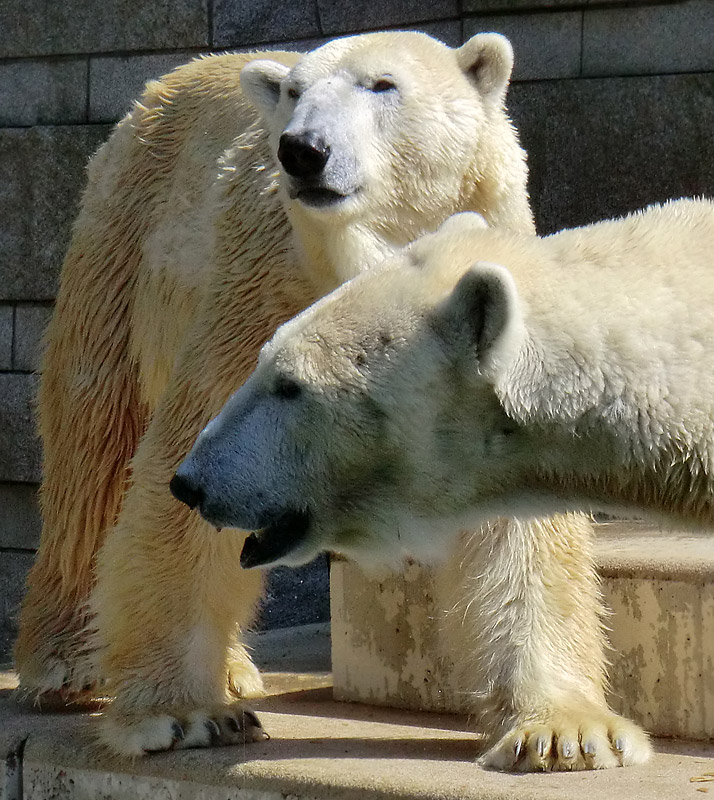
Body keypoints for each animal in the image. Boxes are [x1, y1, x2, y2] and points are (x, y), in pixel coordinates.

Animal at [13, 31, 644, 768]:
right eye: (295, 91)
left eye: (383, 84)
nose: (301, 149)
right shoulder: (263, 305)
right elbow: (195, 470)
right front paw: (179, 715)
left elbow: (523, 506)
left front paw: (565, 731)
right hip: (125, 249)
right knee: (94, 448)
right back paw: (69, 664)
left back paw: (231, 670)